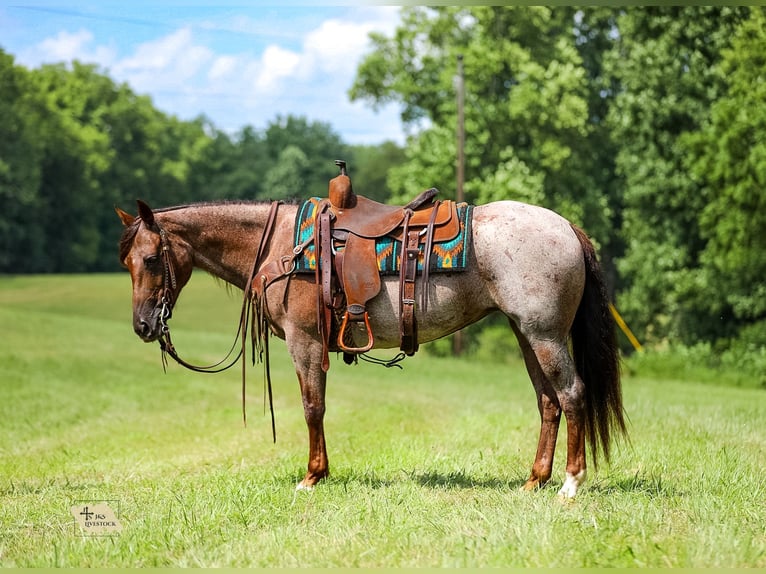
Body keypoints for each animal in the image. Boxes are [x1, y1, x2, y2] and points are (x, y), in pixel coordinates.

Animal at [116, 195, 626, 498]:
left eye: (150, 258)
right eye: (127, 263)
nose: (143, 325)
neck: (281, 247)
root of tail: (567, 227)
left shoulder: (305, 342)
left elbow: (312, 407)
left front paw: (313, 475)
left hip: (544, 335)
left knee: (572, 396)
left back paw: (570, 483)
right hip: (527, 335)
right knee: (548, 403)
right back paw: (534, 480)